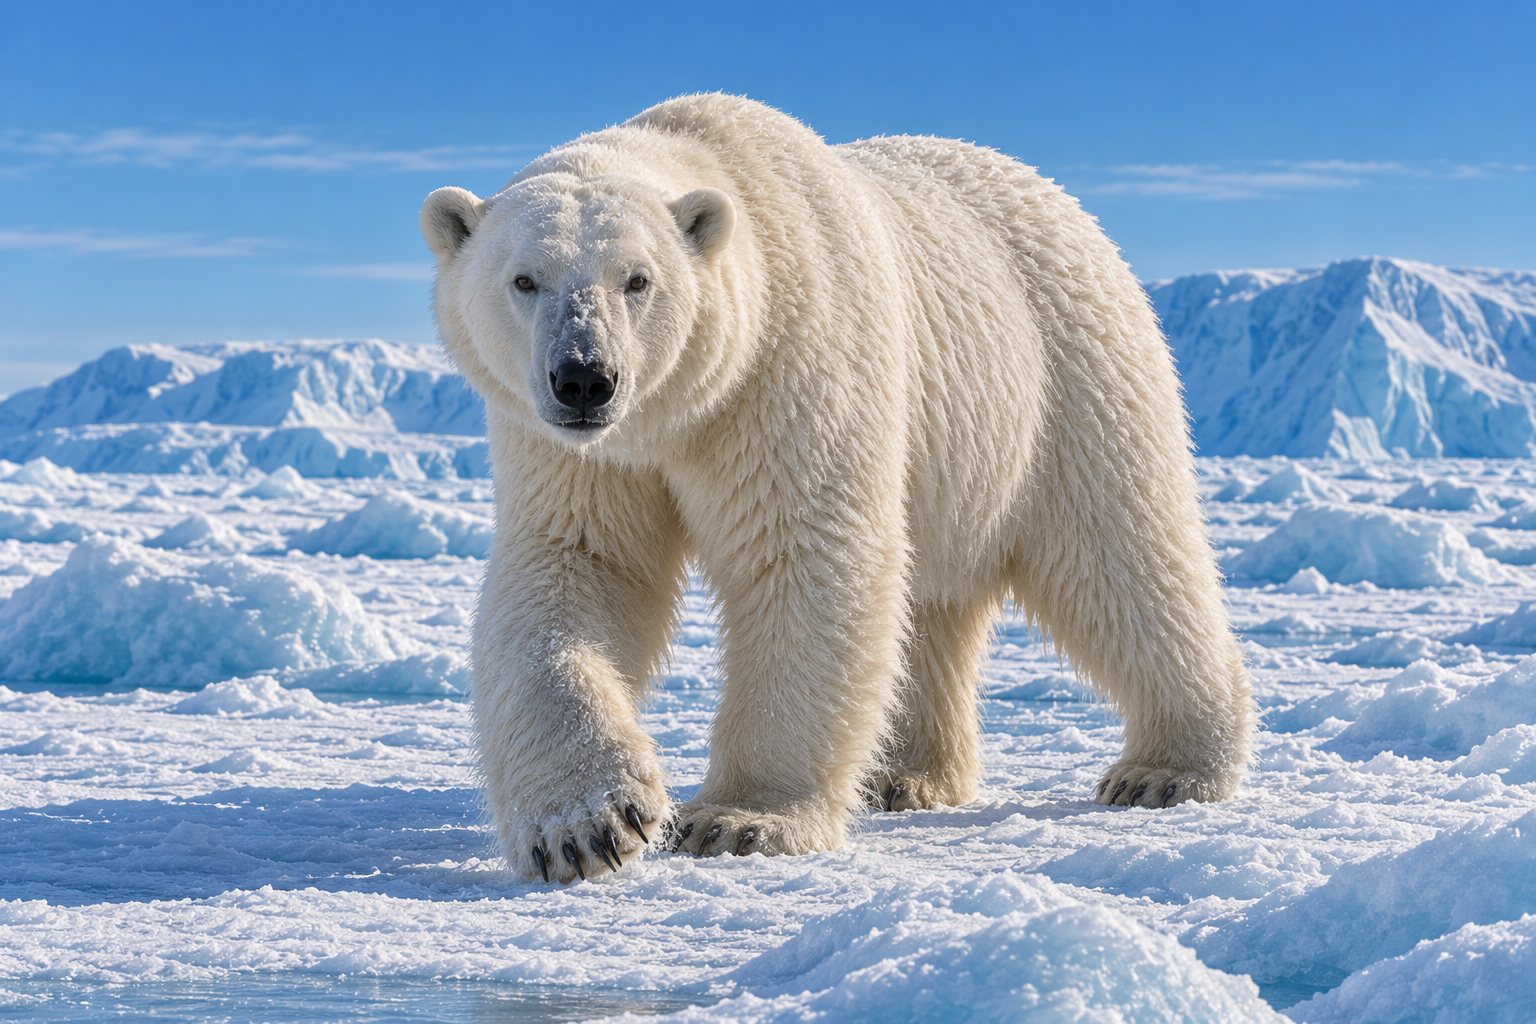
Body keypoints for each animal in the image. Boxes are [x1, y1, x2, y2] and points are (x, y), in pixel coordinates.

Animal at [420, 94, 1255, 884]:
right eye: (524, 279)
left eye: (638, 279)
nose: (585, 378)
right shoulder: (577, 453)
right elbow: (577, 569)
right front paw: (588, 827)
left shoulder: (790, 367)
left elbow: (803, 558)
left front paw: (742, 820)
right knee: (934, 602)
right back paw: (908, 775)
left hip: (1065, 382)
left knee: (1117, 557)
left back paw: (1169, 769)